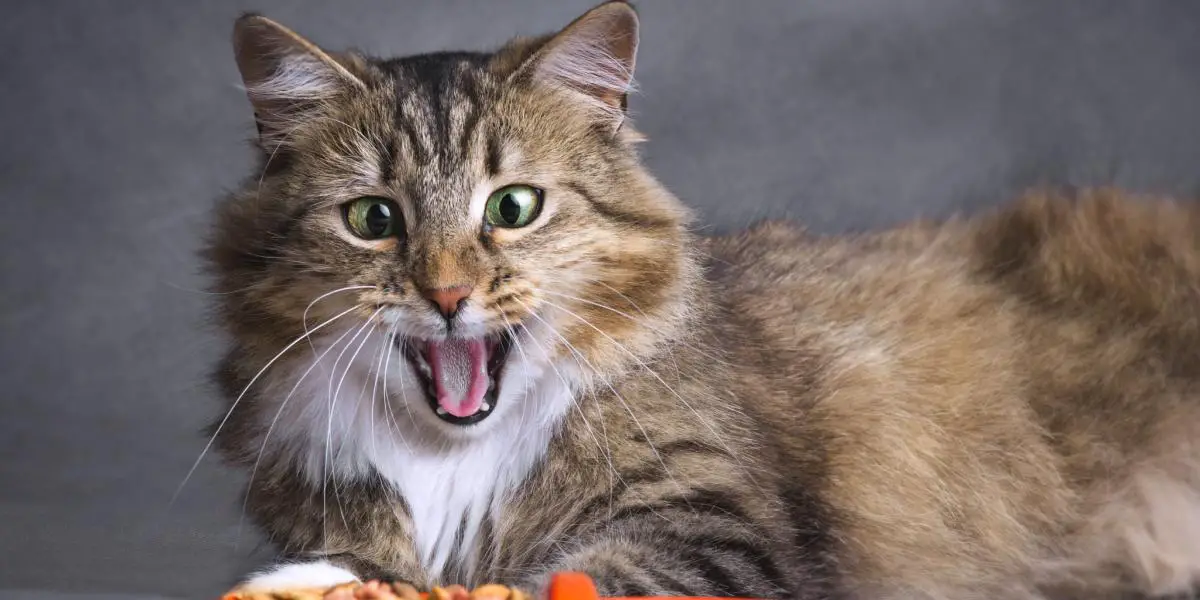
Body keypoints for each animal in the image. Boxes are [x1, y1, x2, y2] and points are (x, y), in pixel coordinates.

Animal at [206, 2, 1200, 597]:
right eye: (374, 219)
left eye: (513, 209)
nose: (447, 293)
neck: (451, 460)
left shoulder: (711, 530)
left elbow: (544, 584)